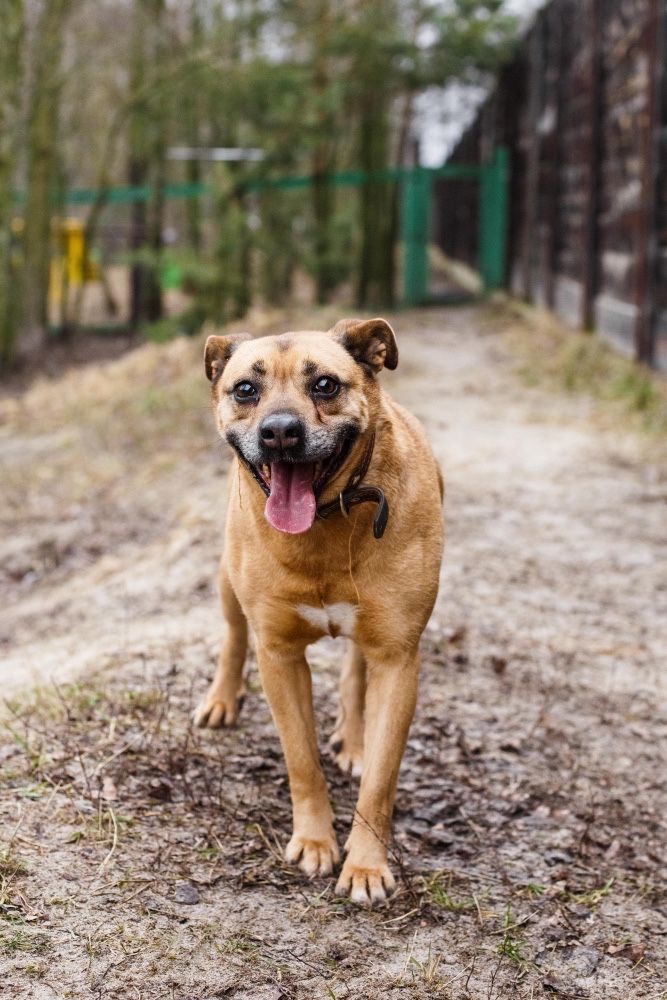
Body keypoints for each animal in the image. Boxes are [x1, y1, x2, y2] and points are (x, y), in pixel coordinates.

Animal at [197, 320, 444, 908]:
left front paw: (366, 864)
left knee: (356, 669)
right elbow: (301, 760)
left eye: (326, 384)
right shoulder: (279, 655)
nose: (280, 432)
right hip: (227, 576)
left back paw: (353, 739)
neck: (327, 526)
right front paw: (314, 841)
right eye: (246, 389)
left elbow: (380, 780)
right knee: (233, 634)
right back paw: (221, 699)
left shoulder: (399, 659)